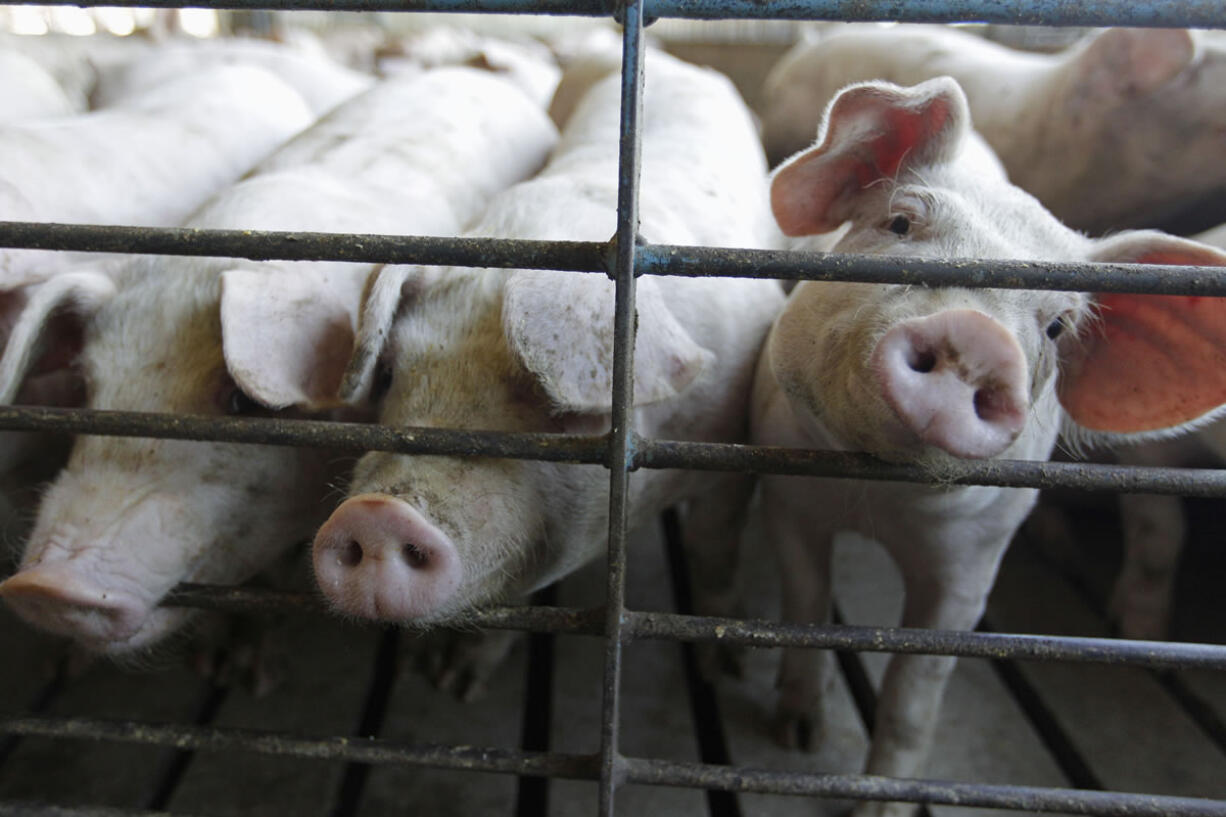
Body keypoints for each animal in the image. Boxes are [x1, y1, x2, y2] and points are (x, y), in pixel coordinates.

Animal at [308, 52, 784, 686]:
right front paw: (450, 678)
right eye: (387, 377)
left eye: (559, 405)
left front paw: (731, 669)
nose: (376, 514)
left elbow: (714, 546)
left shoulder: (733, 451)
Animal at [755, 77, 1226, 814]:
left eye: (1057, 325)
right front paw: (797, 734)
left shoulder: (973, 565)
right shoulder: (787, 491)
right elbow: (805, 611)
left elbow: (912, 697)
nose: (976, 335)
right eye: (901, 224)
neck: (875, 498)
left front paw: (882, 804)